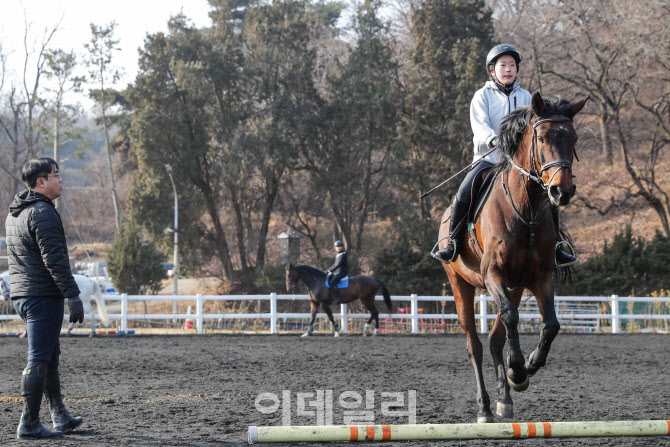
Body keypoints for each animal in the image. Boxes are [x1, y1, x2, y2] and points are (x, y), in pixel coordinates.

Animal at [444, 92, 592, 424]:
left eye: (573, 138)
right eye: (541, 137)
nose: (562, 191)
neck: (526, 209)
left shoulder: (540, 277)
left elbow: (550, 325)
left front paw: (526, 369)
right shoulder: (493, 274)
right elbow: (512, 317)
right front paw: (517, 369)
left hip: (514, 286)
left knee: (496, 338)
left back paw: (504, 399)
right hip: (461, 284)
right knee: (475, 345)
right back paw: (485, 406)